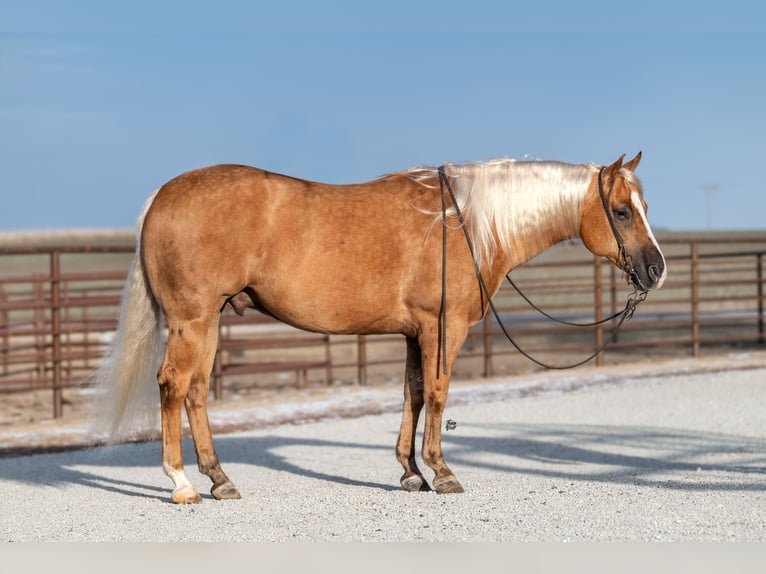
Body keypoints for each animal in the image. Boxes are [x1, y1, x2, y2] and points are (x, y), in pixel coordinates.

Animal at [97, 152, 664, 504]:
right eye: (621, 211)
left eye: (644, 206)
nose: (656, 269)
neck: (464, 224)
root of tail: (163, 195)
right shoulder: (443, 328)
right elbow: (437, 393)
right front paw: (441, 472)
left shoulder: (415, 333)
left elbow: (412, 393)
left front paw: (411, 472)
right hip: (191, 321)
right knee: (173, 386)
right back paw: (181, 483)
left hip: (210, 320)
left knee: (195, 393)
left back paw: (219, 479)